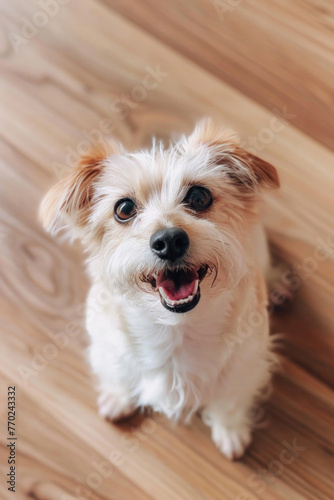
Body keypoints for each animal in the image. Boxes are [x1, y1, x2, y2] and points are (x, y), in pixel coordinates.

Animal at [40, 119, 280, 458]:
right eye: (124, 208)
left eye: (199, 197)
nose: (169, 240)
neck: (175, 330)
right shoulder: (107, 345)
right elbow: (118, 371)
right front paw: (118, 397)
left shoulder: (246, 364)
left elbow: (230, 401)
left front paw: (230, 431)